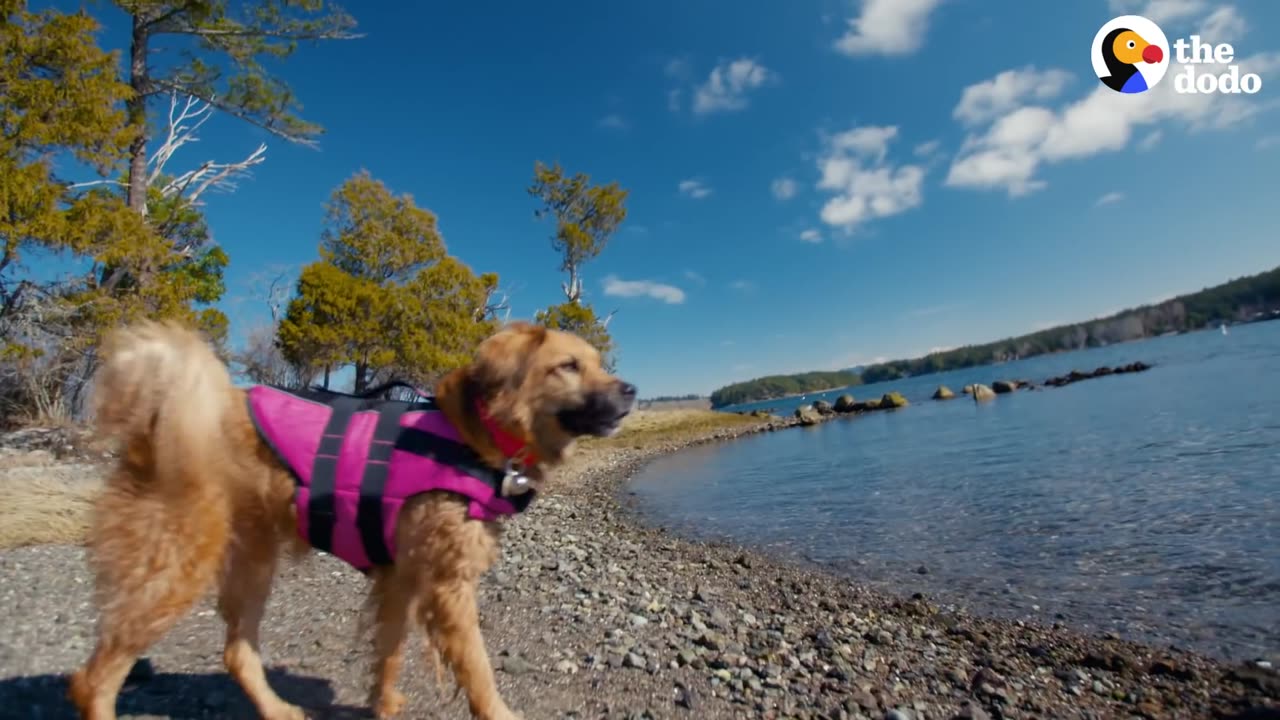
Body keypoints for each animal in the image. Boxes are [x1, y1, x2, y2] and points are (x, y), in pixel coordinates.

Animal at [67, 319, 637, 717]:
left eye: (598, 362)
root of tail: (158, 421)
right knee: (94, 679)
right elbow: (477, 669)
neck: (476, 435)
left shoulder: (401, 580)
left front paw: (383, 706)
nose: (631, 389)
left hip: (252, 564)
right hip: (177, 565)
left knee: (236, 653)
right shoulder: (448, 586)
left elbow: (389, 654)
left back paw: (278, 710)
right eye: (568, 366)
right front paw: (498, 712)